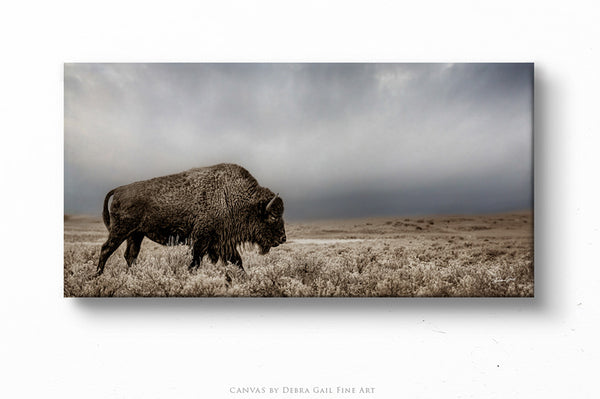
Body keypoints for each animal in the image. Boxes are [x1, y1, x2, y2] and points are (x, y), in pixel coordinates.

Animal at [96, 165, 286, 276]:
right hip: (120, 231)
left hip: (136, 235)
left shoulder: (224, 243)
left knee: (130, 255)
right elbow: (195, 262)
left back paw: (134, 275)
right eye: (273, 216)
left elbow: (237, 262)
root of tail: (119, 189)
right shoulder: (202, 239)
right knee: (106, 249)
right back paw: (98, 275)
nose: (283, 238)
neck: (230, 196)